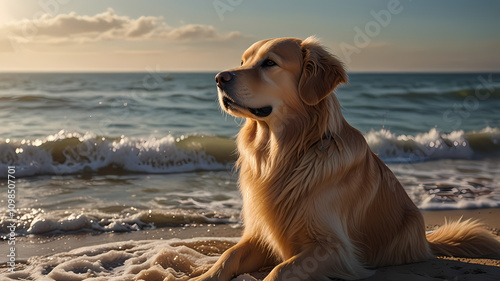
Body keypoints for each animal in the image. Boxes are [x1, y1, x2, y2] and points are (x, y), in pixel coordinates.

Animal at [190, 37, 500, 280]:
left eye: (269, 63)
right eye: (243, 61)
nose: (219, 78)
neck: (284, 154)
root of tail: (426, 241)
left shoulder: (335, 249)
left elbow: (280, 270)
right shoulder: (261, 234)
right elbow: (229, 255)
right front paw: (203, 276)